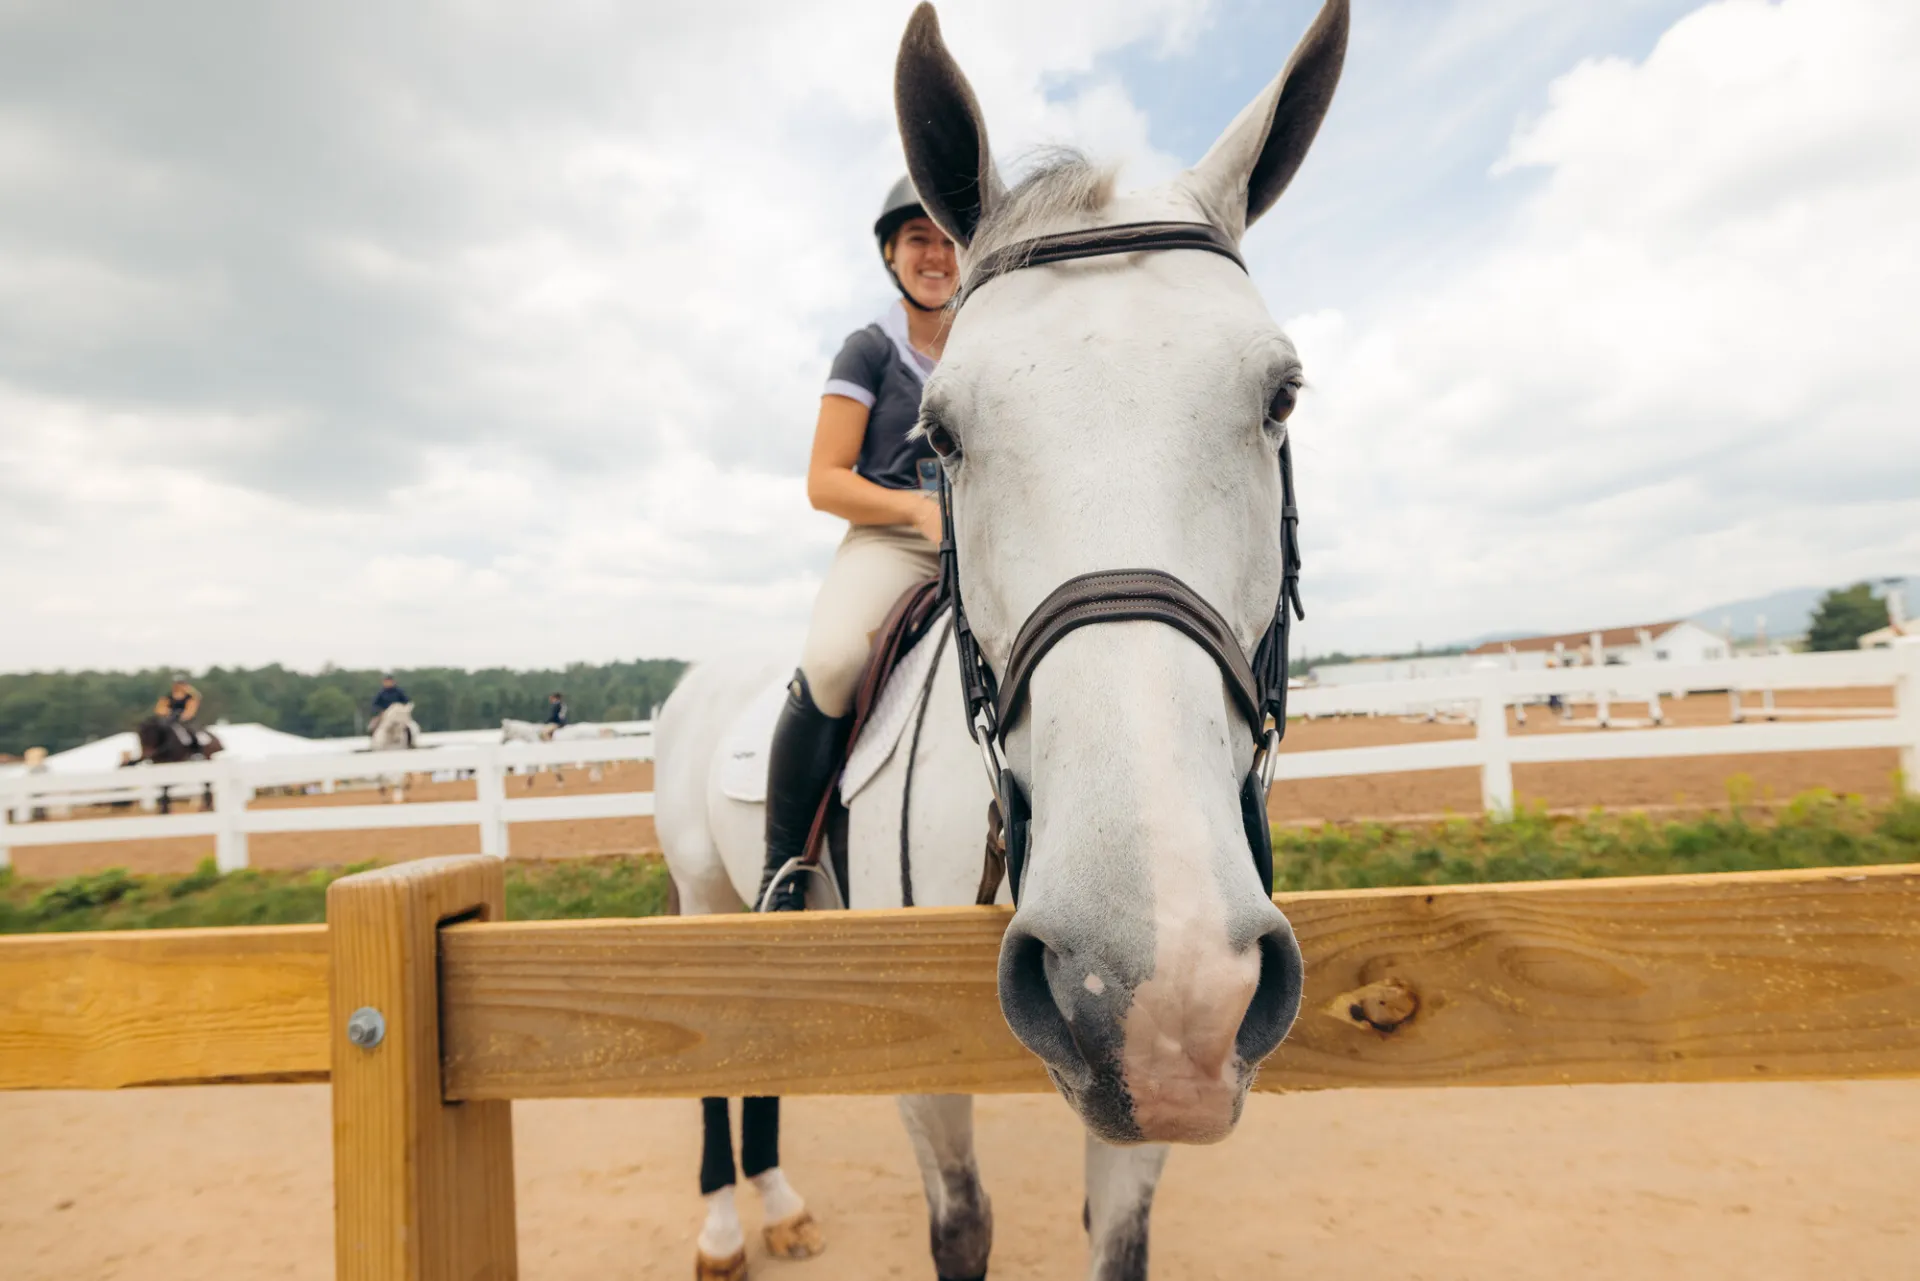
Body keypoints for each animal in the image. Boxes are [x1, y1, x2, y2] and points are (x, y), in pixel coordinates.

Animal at [654, 5, 1347, 1276]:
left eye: (1280, 397)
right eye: (941, 434)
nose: (1154, 981)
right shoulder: (924, 1068)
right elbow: (962, 1225)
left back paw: (779, 1205)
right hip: (703, 903)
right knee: (721, 1070)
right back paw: (728, 1221)